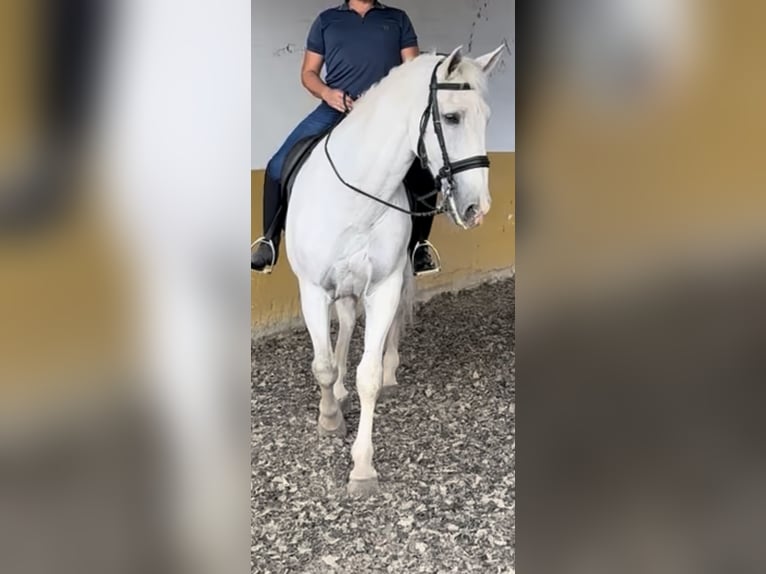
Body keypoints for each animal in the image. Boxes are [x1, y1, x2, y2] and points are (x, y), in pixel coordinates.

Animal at [284, 44, 505, 495]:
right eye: (452, 117)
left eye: (488, 118)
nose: (478, 209)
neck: (356, 198)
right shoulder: (313, 289)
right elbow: (322, 364)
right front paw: (329, 418)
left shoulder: (383, 287)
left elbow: (367, 374)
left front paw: (362, 468)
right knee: (345, 326)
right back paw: (338, 391)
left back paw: (387, 373)